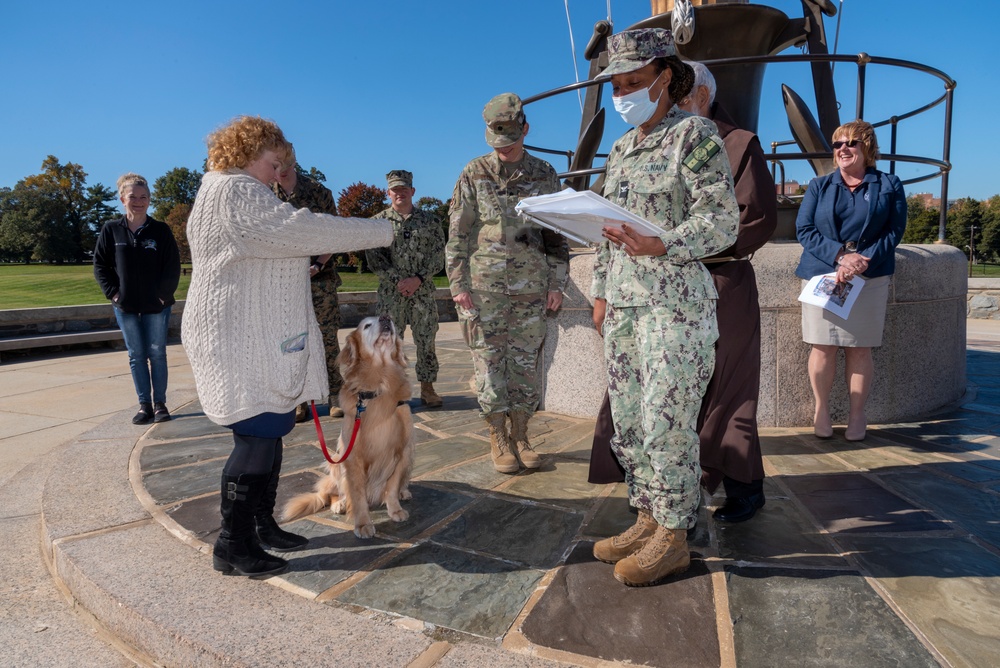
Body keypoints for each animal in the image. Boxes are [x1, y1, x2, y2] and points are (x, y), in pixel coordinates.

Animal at [284, 316, 416, 540]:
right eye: (367, 325)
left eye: (390, 320)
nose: (385, 318)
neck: (380, 380)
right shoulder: (353, 457)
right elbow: (358, 495)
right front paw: (362, 524)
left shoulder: (401, 452)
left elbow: (391, 486)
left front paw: (395, 508)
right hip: (336, 460)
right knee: (335, 492)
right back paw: (340, 503)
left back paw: (403, 492)